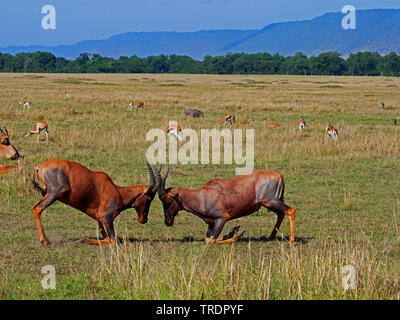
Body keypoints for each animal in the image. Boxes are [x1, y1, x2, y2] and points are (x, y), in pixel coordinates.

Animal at [30, 159, 159, 245]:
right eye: (149, 198)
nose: (143, 219)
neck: (116, 191)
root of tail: (39, 166)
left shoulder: (100, 220)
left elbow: (104, 237)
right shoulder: (106, 218)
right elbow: (112, 240)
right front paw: (78, 239)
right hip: (54, 194)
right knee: (37, 209)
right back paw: (45, 241)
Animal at [155, 166, 296, 244]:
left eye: (168, 201)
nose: (168, 221)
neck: (204, 195)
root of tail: (279, 175)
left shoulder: (221, 219)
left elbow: (210, 240)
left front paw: (237, 235)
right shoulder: (211, 223)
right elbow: (208, 238)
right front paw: (233, 231)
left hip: (271, 201)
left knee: (290, 210)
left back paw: (290, 241)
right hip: (270, 204)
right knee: (281, 214)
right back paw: (270, 238)